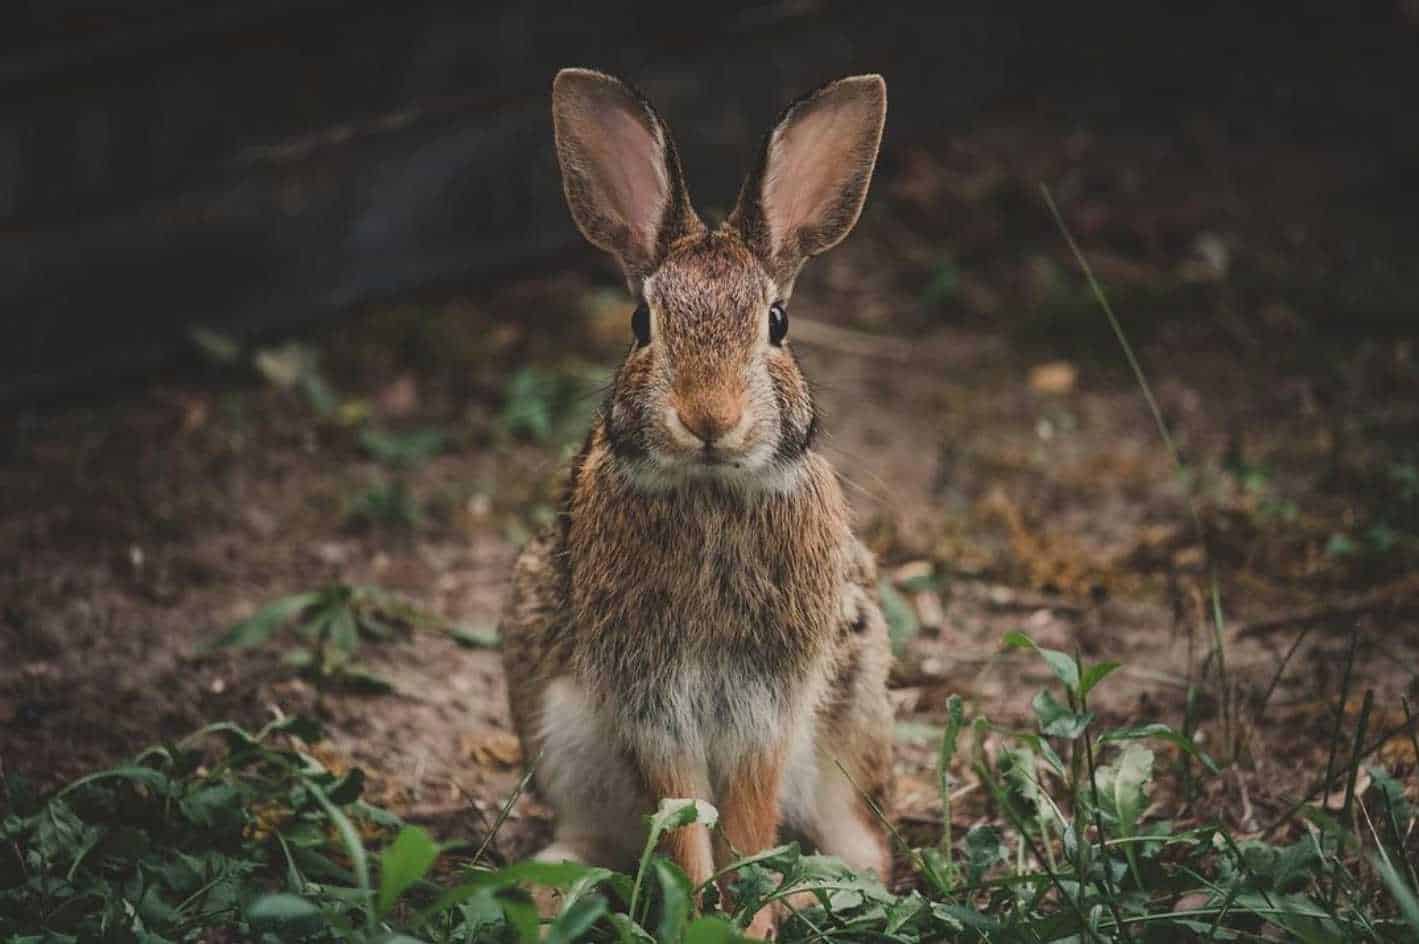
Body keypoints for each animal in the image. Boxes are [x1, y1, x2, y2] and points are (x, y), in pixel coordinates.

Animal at [505, 68, 891, 936]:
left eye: (777, 323)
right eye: (640, 322)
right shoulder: (650, 700)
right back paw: (543, 892)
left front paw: (748, 918)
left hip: (848, 728)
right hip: (560, 734)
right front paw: (695, 912)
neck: (712, 491)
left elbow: (744, 818)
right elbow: (680, 819)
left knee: (866, 852)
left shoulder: (766, 703)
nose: (709, 417)